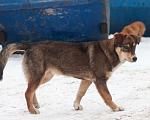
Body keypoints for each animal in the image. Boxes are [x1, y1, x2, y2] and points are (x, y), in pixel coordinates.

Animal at [0, 32, 141, 113]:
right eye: (126, 47)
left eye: (134, 47)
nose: (135, 58)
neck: (110, 52)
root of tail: (29, 45)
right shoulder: (100, 80)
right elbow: (108, 96)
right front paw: (115, 107)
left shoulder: (87, 80)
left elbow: (80, 93)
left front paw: (76, 105)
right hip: (38, 76)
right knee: (27, 92)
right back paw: (32, 110)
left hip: (44, 77)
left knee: (30, 89)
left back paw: (35, 105)